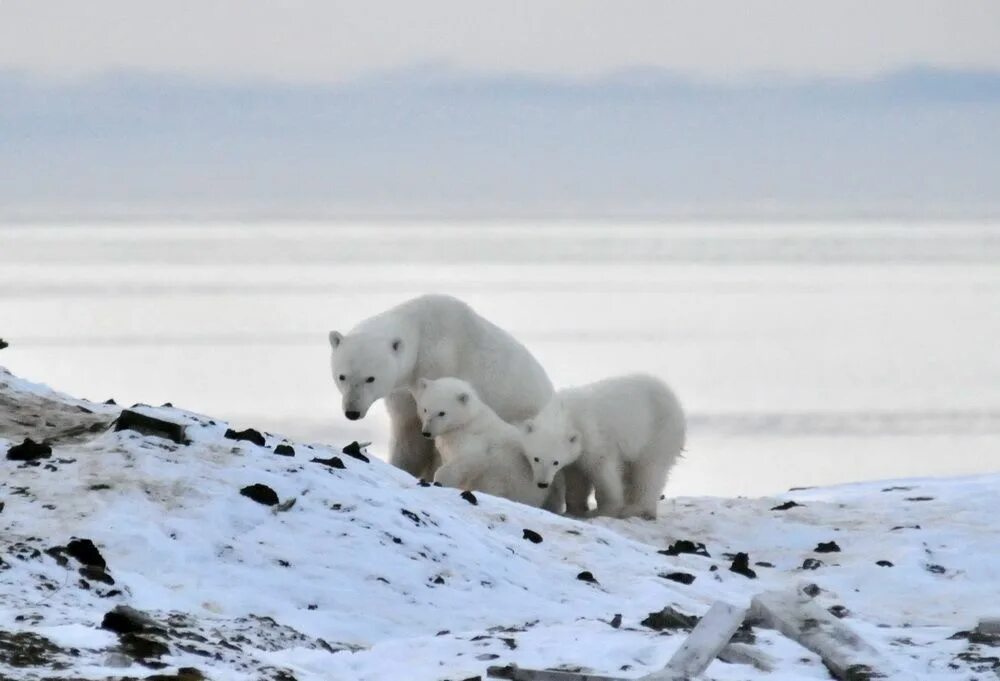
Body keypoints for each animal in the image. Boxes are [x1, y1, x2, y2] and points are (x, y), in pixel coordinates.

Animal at [330, 294, 556, 478]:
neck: (422, 331)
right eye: (342, 376)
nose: (352, 412)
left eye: (370, 378)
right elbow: (408, 431)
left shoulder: (441, 365)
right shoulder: (402, 391)